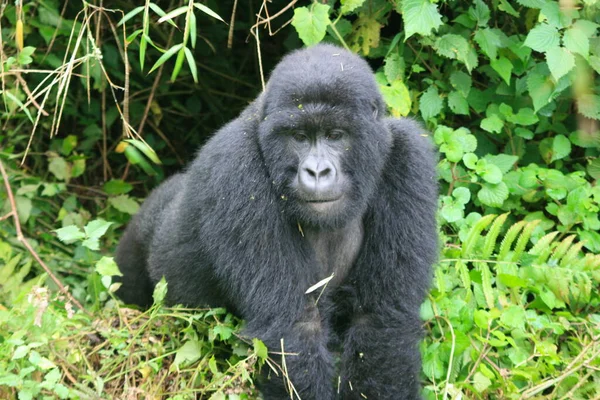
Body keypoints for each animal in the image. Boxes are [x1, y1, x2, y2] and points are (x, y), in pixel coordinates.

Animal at [116, 43, 436, 400]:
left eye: (335, 135)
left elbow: (380, 319)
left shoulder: (409, 156)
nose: (317, 171)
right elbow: (292, 327)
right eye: (299, 136)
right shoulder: (236, 165)